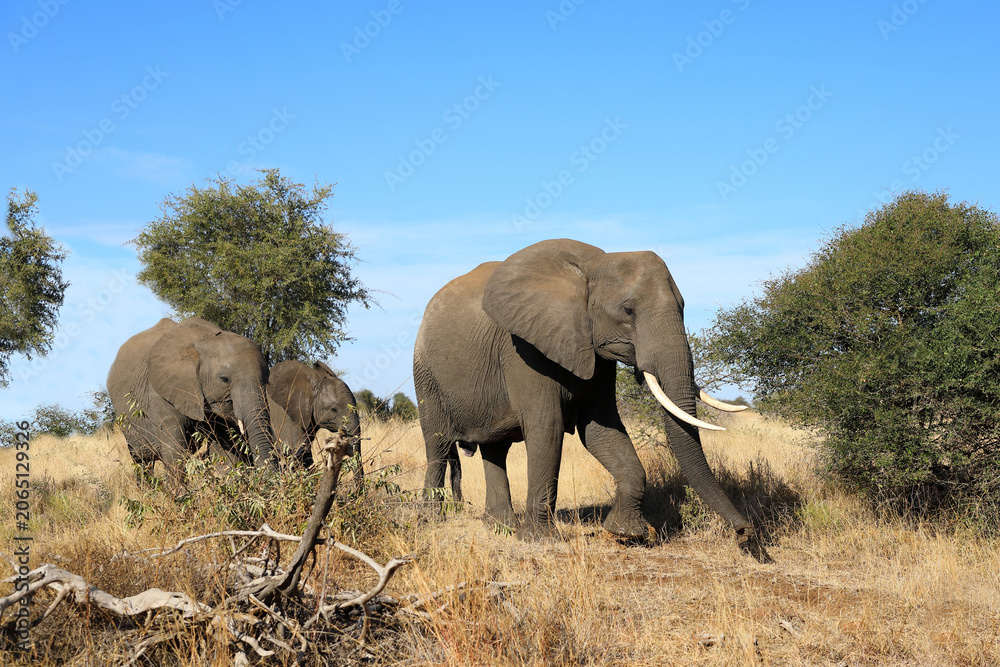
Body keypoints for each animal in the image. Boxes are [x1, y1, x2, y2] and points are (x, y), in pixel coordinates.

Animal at [107, 317, 275, 484]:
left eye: (267, 379)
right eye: (224, 379)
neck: (204, 338)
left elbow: (226, 447)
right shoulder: (162, 392)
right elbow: (174, 451)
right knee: (141, 460)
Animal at [414, 239, 757, 548]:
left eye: (684, 307)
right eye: (628, 311)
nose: (744, 533)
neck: (593, 265)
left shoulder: (597, 354)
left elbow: (600, 428)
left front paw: (625, 534)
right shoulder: (522, 348)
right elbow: (547, 428)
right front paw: (541, 541)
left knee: (495, 449)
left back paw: (501, 528)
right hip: (426, 374)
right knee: (438, 445)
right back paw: (430, 520)